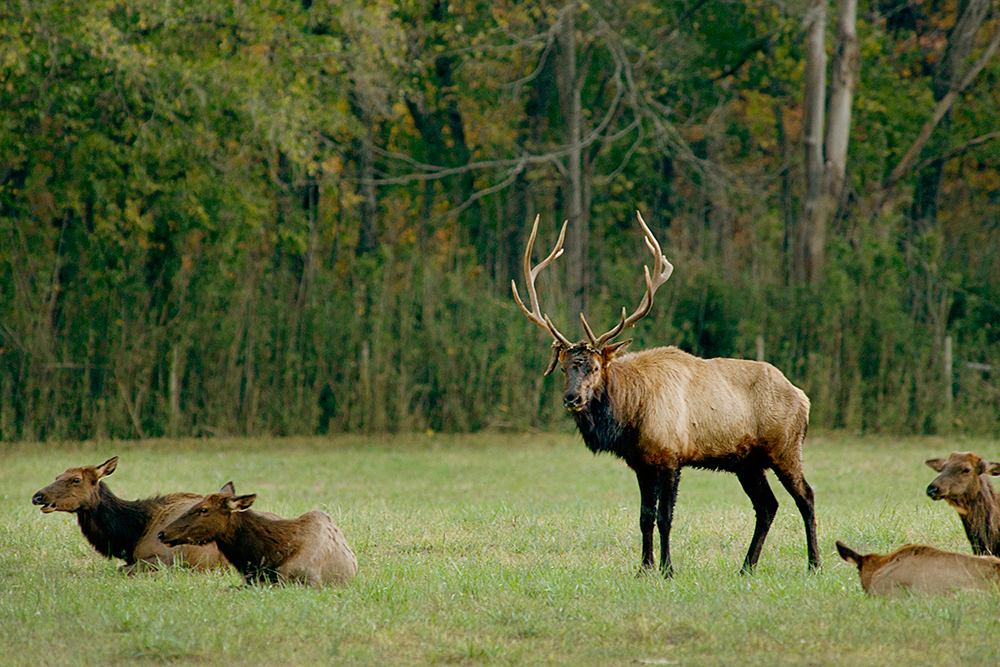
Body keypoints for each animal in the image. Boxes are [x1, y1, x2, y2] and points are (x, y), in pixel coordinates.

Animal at [31, 456, 229, 573]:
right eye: (57, 477)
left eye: (76, 479)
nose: (38, 496)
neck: (131, 535)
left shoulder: (167, 557)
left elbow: (121, 569)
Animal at [512, 212, 819, 577]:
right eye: (563, 368)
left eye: (595, 367)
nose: (572, 398)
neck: (631, 417)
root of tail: (803, 398)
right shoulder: (641, 463)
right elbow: (644, 518)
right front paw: (644, 568)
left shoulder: (671, 456)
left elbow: (665, 517)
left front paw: (667, 568)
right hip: (747, 461)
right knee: (768, 505)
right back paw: (746, 567)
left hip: (784, 447)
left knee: (806, 497)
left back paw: (814, 564)